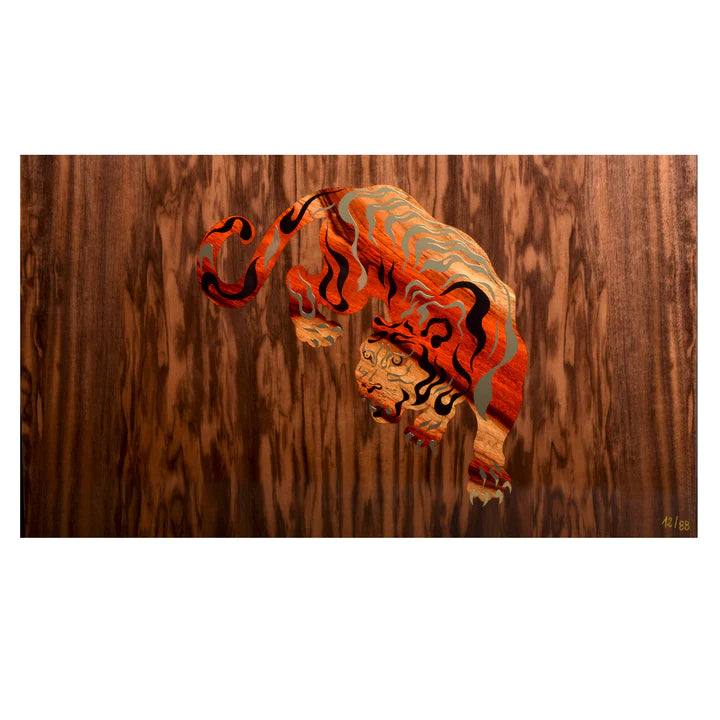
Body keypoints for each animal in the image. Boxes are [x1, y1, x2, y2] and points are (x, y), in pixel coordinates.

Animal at [196, 185, 527, 505]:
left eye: (398, 364)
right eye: (366, 356)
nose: (368, 386)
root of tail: (347, 189)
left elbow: (486, 426)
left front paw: (440, 439)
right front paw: (484, 479)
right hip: (346, 287)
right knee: (297, 276)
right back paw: (313, 327)